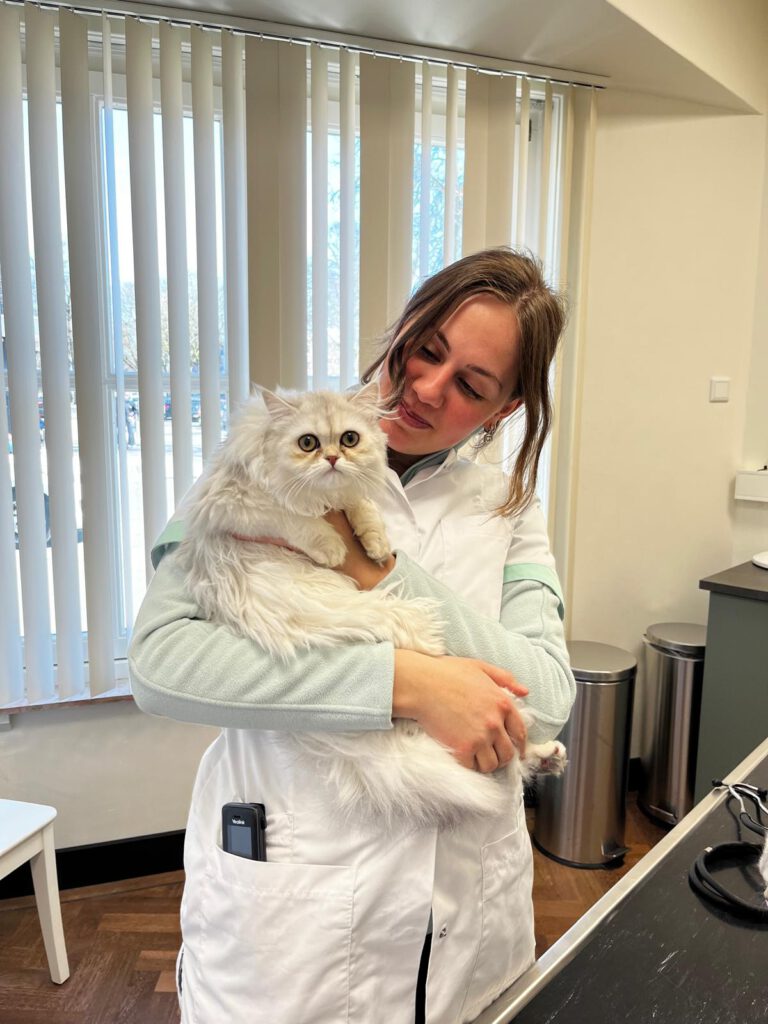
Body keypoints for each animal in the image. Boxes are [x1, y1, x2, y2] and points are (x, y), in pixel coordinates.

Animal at [177, 383, 566, 827]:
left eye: (350, 439)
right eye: (307, 443)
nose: (332, 459)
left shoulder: (348, 493)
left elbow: (362, 504)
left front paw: (376, 543)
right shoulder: (235, 504)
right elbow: (291, 518)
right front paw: (330, 546)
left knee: (518, 749)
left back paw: (549, 755)